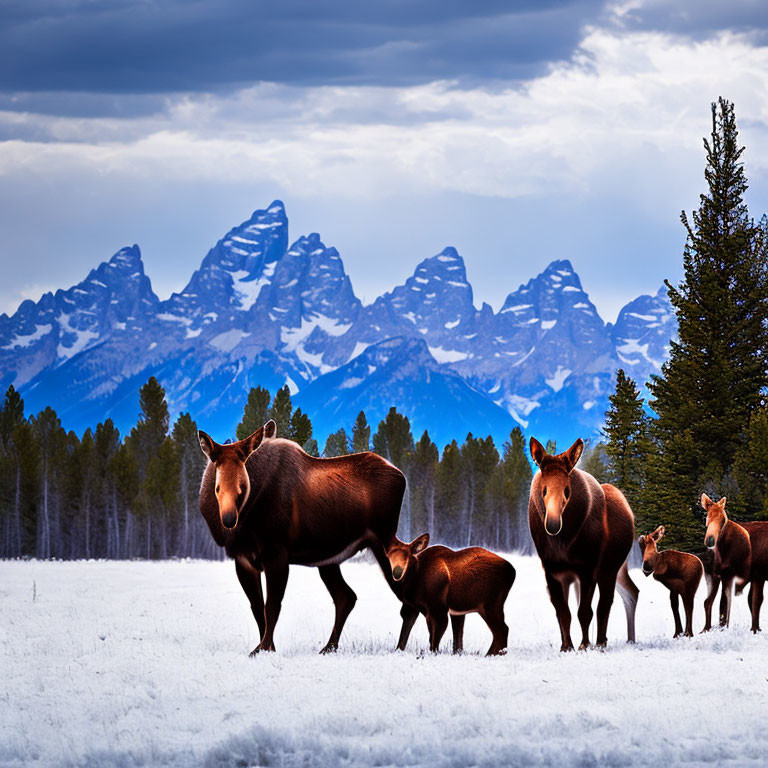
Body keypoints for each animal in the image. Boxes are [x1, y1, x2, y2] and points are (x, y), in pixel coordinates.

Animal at [196, 420, 408, 656]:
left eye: (243, 488)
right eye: (217, 488)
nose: (229, 519)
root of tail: (401, 476)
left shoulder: (276, 553)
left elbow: (272, 606)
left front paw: (265, 648)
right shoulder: (243, 559)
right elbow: (257, 607)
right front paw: (264, 648)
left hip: (383, 540)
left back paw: (401, 648)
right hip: (329, 559)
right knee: (346, 597)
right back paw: (330, 647)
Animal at [388, 536, 520, 656]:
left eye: (408, 556)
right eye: (390, 556)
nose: (397, 572)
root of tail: (513, 571)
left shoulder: (437, 608)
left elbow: (435, 638)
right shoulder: (416, 608)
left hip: (490, 604)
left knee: (502, 629)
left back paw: (491, 654)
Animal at [524, 438, 640, 648]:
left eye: (567, 490)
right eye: (543, 490)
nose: (552, 524)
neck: (562, 543)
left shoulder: (587, 569)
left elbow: (585, 612)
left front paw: (585, 645)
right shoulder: (552, 571)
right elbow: (563, 612)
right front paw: (566, 646)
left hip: (609, 569)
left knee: (605, 604)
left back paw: (602, 642)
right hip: (615, 569)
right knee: (631, 591)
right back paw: (627, 639)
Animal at [704, 496, 768, 632]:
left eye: (723, 519)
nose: (710, 541)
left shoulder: (756, 576)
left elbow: (753, 600)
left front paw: (756, 629)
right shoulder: (756, 575)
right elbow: (754, 600)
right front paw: (755, 629)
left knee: (710, 601)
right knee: (711, 602)